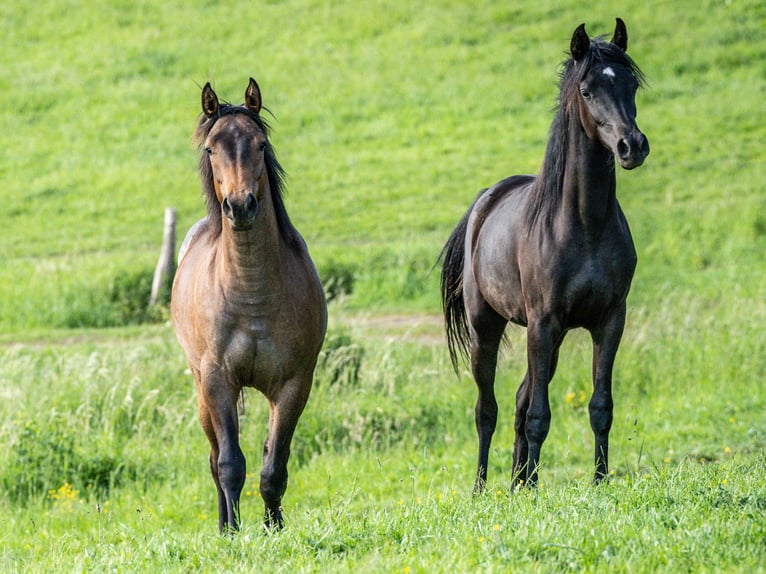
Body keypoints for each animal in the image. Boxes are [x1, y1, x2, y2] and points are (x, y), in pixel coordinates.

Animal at [172, 79, 328, 532]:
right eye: (211, 149)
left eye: (260, 144)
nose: (240, 206)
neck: (252, 293)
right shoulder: (217, 380)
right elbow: (229, 464)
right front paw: (233, 532)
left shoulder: (295, 383)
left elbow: (274, 466)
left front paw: (274, 528)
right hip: (201, 390)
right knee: (214, 459)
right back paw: (225, 524)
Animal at [440, 20, 652, 492]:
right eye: (587, 90)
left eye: (631, 84)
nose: (632, 146)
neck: (584, 225)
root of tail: (486, 201)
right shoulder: (542, 321)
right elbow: (538, 414)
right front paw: (534, 492)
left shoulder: (610, 320)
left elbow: (600, 407)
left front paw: (599, 481)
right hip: (490, 329)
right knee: (488, 409)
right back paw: (483, 487)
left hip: (549, 340)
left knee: (520, 399)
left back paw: (520, 482)